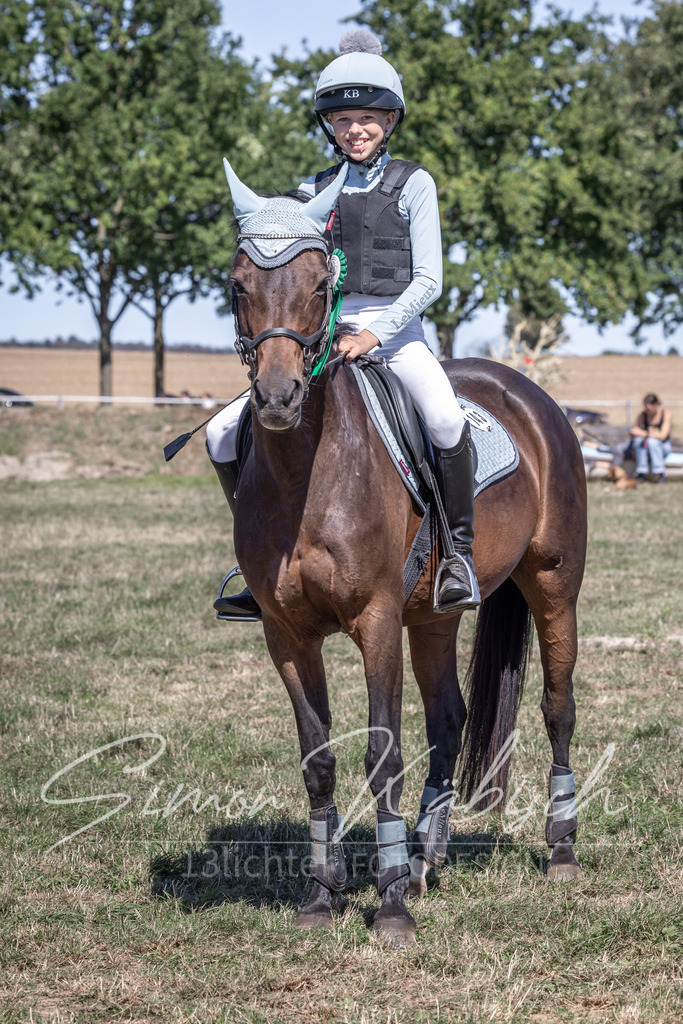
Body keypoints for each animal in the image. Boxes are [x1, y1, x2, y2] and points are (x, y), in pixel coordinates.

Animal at [221, 161, 587, 946]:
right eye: (238, 284)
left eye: (320, 284)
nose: (278, 397)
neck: (306, 473)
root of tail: (526, 390)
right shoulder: (286, 634)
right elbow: (319, 757)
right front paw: (322, 893)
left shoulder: (377, 621)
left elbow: (382, 750)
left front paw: (387, 905)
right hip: (436, 615)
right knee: (449, 719)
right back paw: (426, 858)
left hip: (552, 587)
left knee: (557, 705)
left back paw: (560, 850)